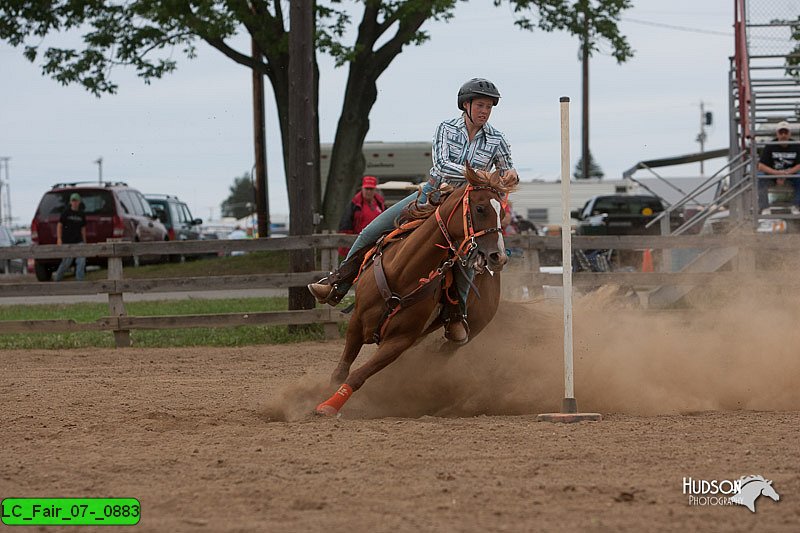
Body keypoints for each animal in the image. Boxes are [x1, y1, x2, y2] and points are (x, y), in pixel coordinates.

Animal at [316, 166, 516, 416]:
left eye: (502, 211)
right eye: (480, 209)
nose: (498, 256)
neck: (402, 273)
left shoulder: (400, 340)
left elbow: (358, 376)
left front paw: (328, 406)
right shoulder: (357, 322)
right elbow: (342, 370)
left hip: (464, 334)